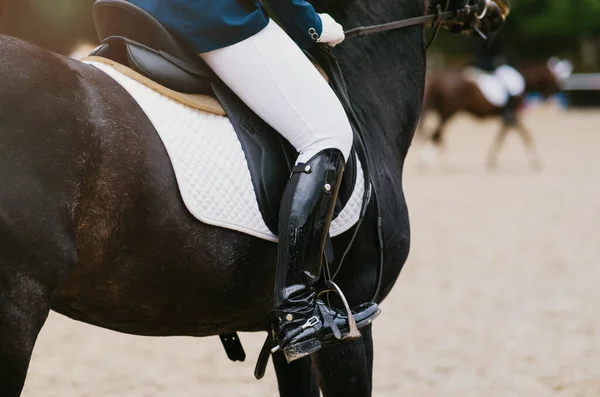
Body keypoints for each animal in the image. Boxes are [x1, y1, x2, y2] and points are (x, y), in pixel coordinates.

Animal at [420, 59, 564, 168]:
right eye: (553, 76)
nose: (557, 89)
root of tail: (439, 78)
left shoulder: (508, 117)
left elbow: (502, 136)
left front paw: (490, 159)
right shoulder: (512, 115)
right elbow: (523, 134)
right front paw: (535, 158)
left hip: (444, 112)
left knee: (437, 135)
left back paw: (439, 160)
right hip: (449, 112)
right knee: (436, 135)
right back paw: (430, 161)